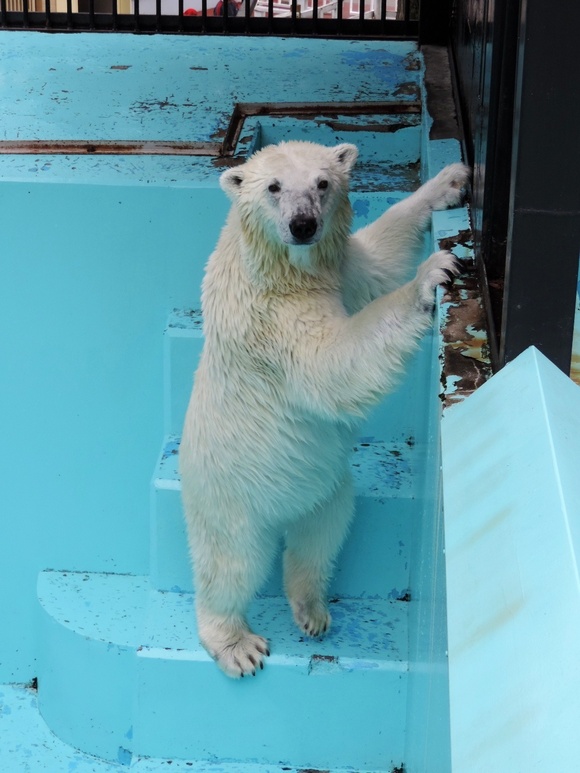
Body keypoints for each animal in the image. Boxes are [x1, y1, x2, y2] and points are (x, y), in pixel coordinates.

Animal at [181, 139, 472, 676]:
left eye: (322, 183)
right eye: (274, 188)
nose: (303, 225)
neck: (282, 265)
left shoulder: (336, 268)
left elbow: (378, 260)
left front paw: (450, 181)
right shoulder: (272, 316)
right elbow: (330, 364)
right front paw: (432, 274)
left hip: (328, 488)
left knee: (321, 535)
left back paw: (311, 607)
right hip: (229, 497)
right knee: (230, 565)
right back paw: (235, 643)